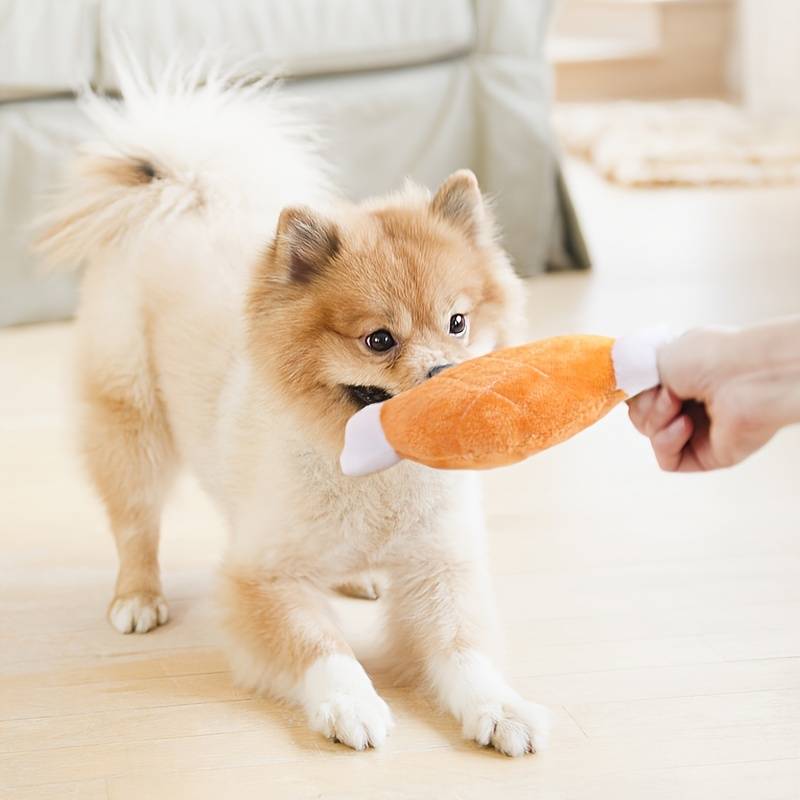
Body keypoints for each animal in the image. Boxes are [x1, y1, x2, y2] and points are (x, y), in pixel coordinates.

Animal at [37, 64, 552, 756]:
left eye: (458, 323)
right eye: (379, 340)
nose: (444, 372)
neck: (374, 475)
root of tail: (181, 193)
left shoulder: (440, 565)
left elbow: (463, 649)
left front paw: (499, 707)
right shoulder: (264, 578)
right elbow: (321, 645)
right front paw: (349, 702)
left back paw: (358, 578)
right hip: (131, 420)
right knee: (136, 523)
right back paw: (139, 597)